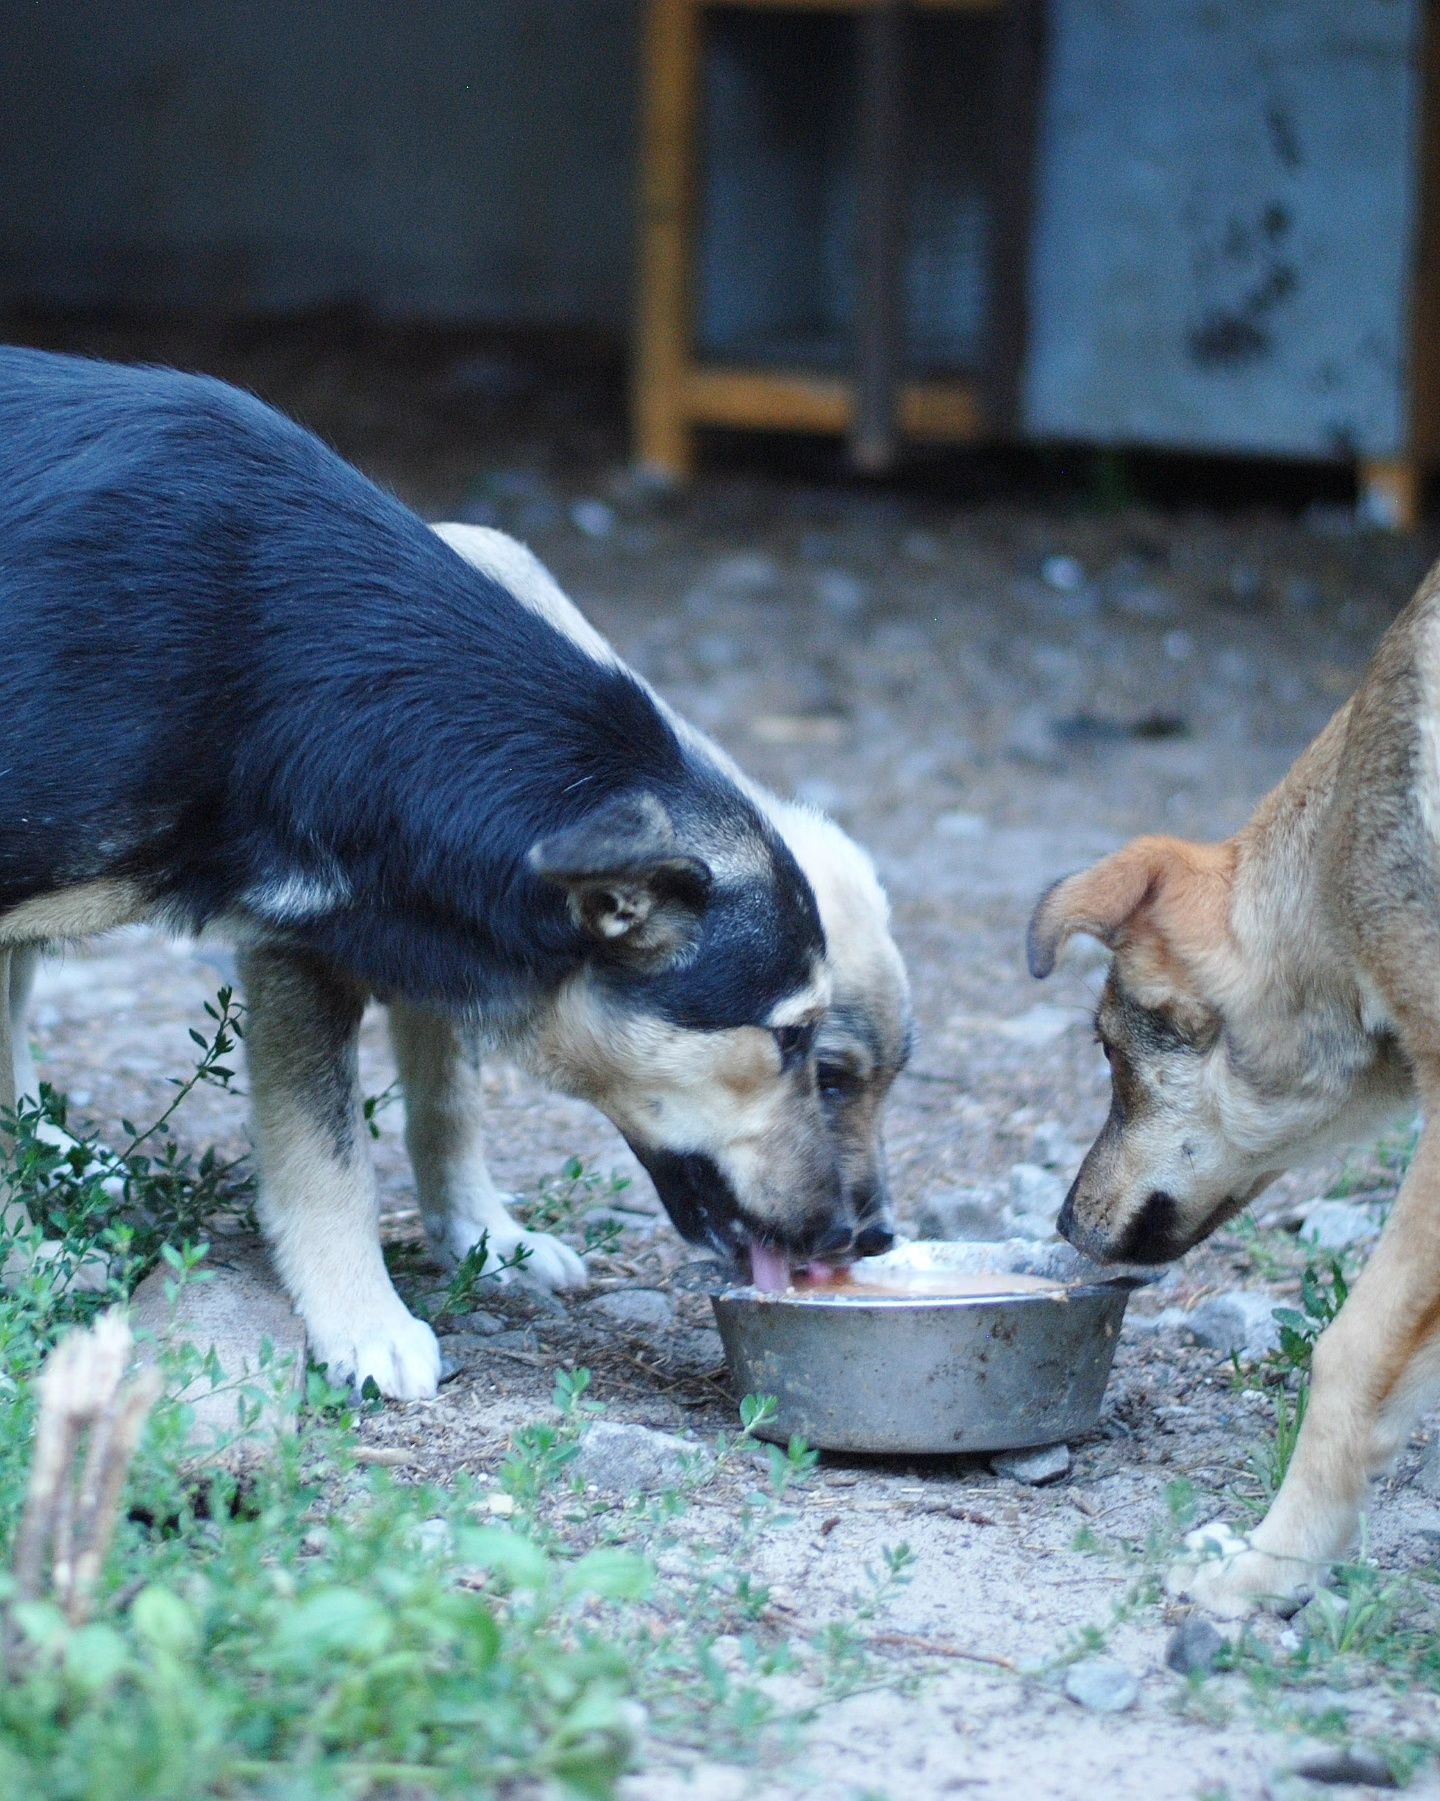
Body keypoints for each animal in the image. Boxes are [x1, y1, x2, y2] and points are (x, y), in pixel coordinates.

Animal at [0, 347, 907, 1390]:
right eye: (797, 1045)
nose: (860, 1236)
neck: (280, 657)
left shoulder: (396, 928)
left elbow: (442, 1099)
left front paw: (479, 1236)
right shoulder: (305, 950)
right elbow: (329, 1151)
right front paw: (362, 1322)